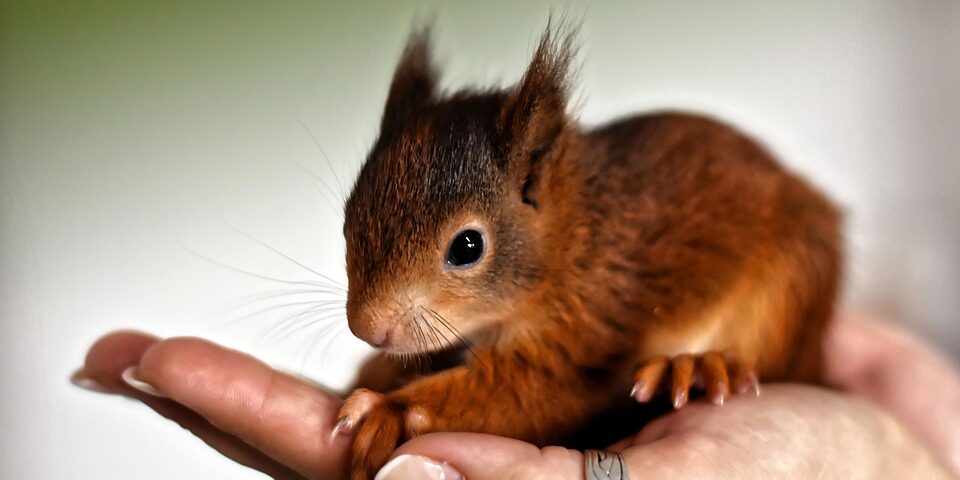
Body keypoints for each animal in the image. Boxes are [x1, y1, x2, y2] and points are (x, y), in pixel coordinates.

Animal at [333, 24, 842, 480]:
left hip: (786, 293)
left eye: (468, 246)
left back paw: (694, 367)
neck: (573, 240)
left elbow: (532, 393)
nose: (366, 329)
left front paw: (386, 411)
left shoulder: (586, 327)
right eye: (347, 217)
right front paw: (378, 374)